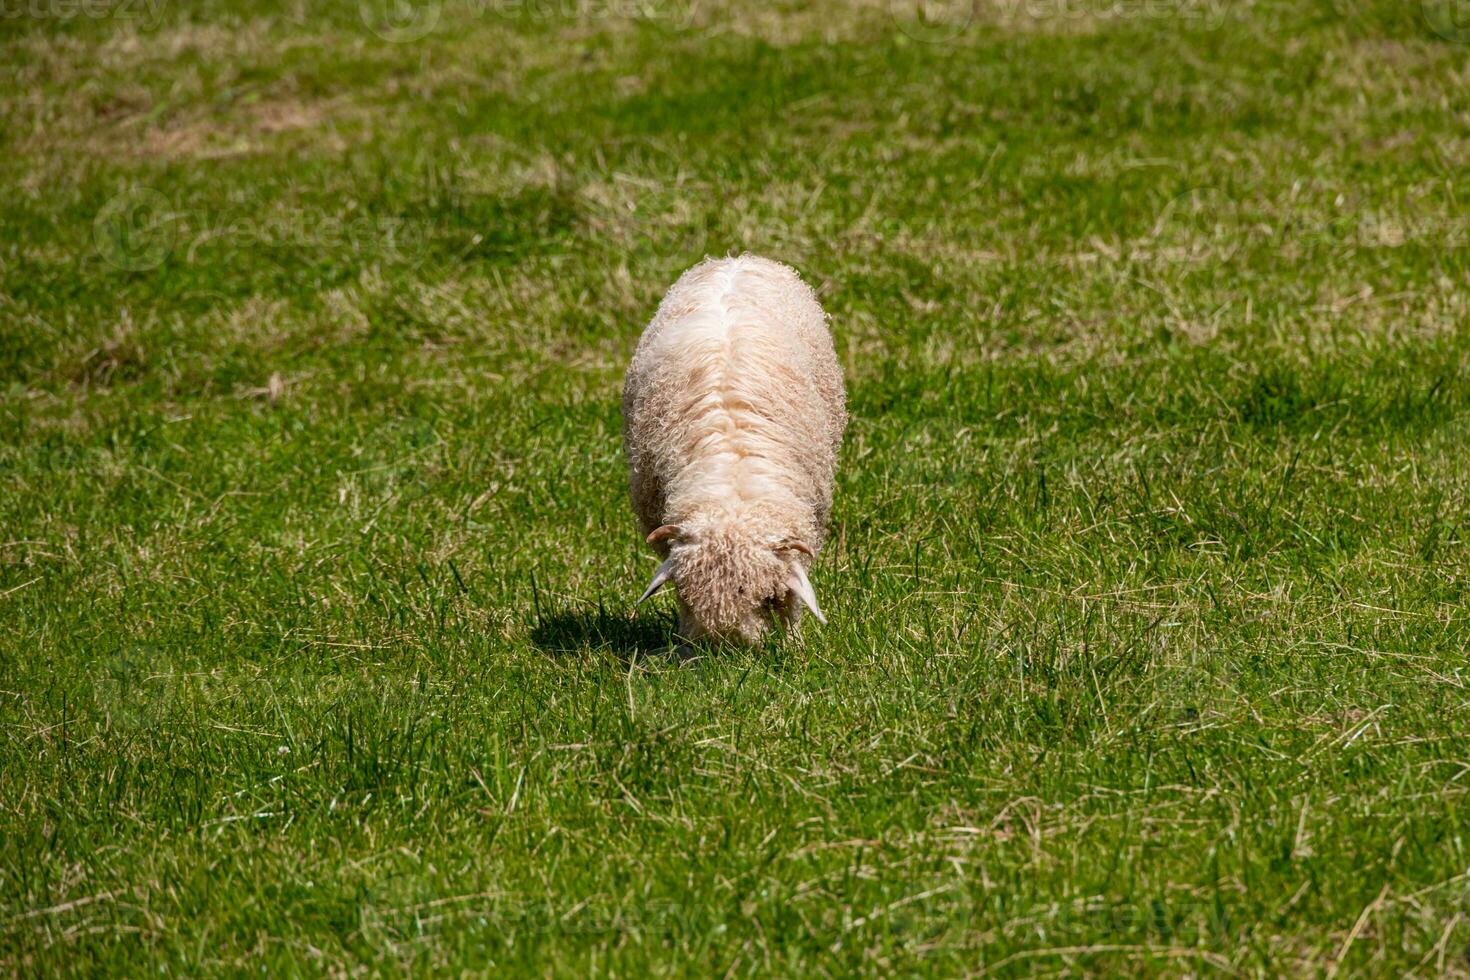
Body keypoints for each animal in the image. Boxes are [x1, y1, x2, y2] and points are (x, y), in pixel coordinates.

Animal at [623, 252, 852, 643]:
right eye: (684, 595)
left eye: (766, 597)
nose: (724, 648)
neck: (733, 476)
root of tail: (737, 259)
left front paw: (794, 643)